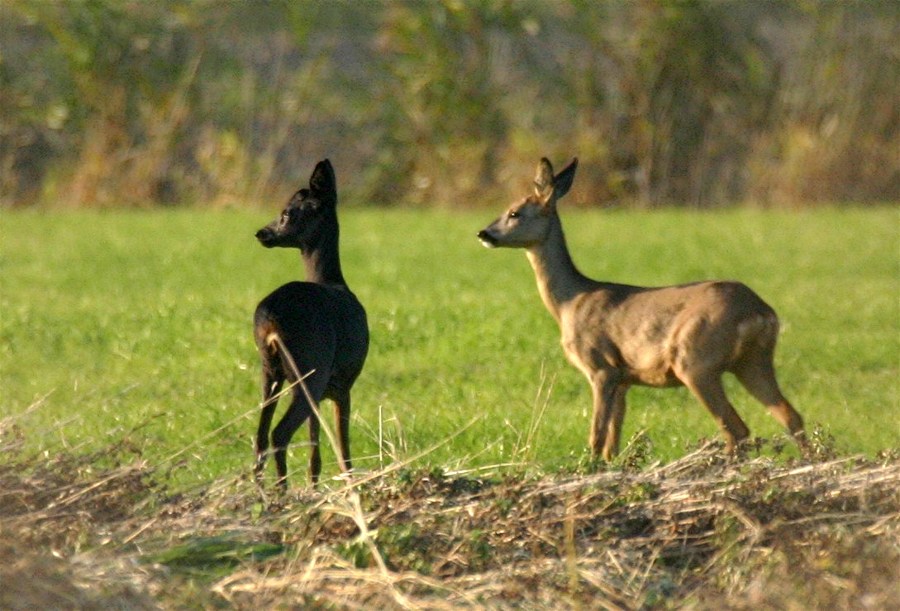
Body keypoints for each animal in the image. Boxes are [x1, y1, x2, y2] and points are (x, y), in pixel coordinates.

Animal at [253, 160, 370, 490]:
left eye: (285, 213)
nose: (262, 232)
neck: (333, 280)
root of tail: (270, 317)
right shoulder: (342, 383)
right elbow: (343, 450)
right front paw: (351, 488)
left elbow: (314, 449)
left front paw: (315, 487)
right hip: (310, 367)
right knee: (279, 433)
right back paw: (281, 490)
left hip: (270, 369)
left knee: (260, 436)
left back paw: (260, 490)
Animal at [482, 160, 804, 462]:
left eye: (514, 213)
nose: (483, 233)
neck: (569, 302)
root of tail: (759, 312)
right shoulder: (624, 380)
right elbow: (612, 443)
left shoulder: (601, 367)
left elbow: (596, 438)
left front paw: (588, 468)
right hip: (753, 360)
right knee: (791, 417)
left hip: (696, 360)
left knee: (736, 428)